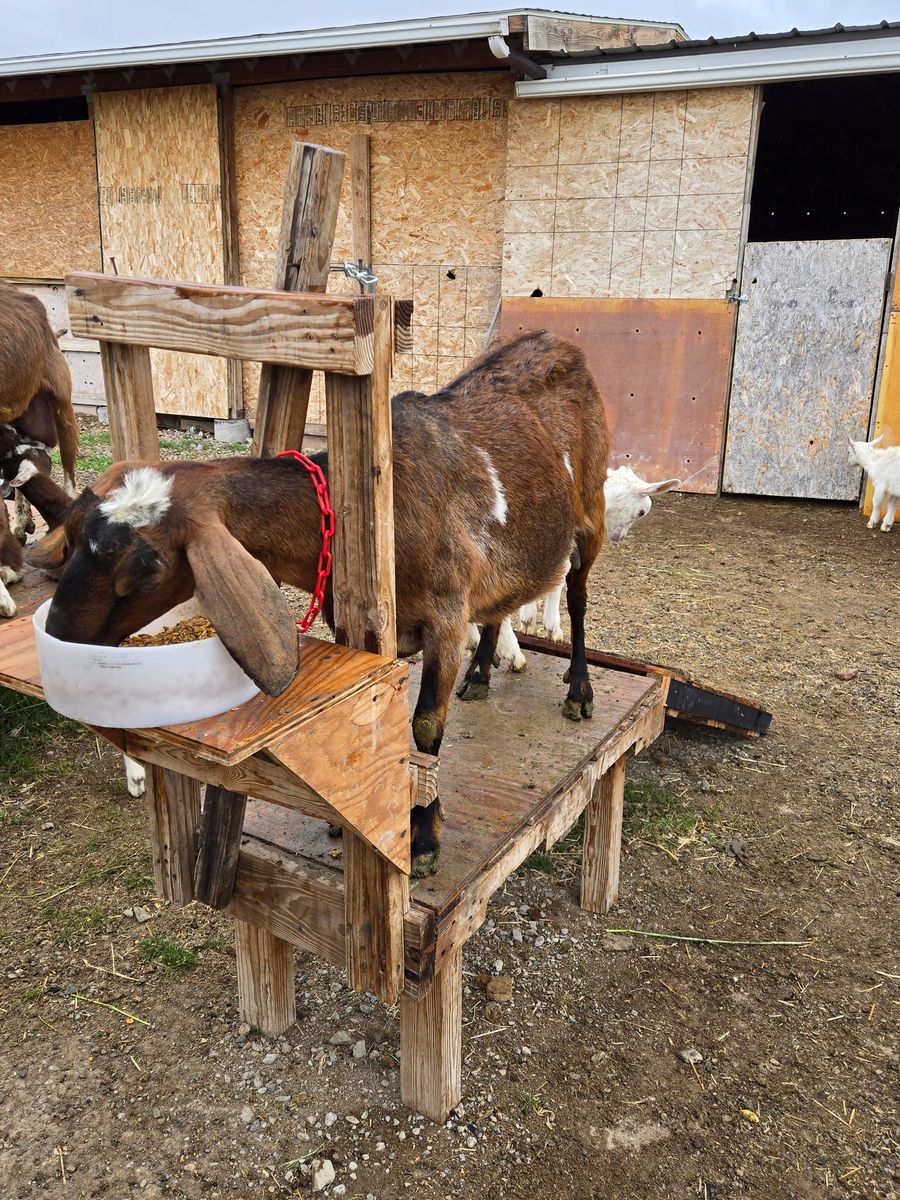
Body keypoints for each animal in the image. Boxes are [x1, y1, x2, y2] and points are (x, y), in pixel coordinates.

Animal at [29, 332, 609, 876]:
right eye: (75, 538)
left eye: (146, 565)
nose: (59, 629)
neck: (384, 509)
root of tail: (558, 343)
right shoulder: (357, 620)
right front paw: (349, 817)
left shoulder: (445, 618)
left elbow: (424, 728)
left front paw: (422, 837)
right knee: (499, 603)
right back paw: (482, 674)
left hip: (592, 511)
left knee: (578, 596)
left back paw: (578, 690)